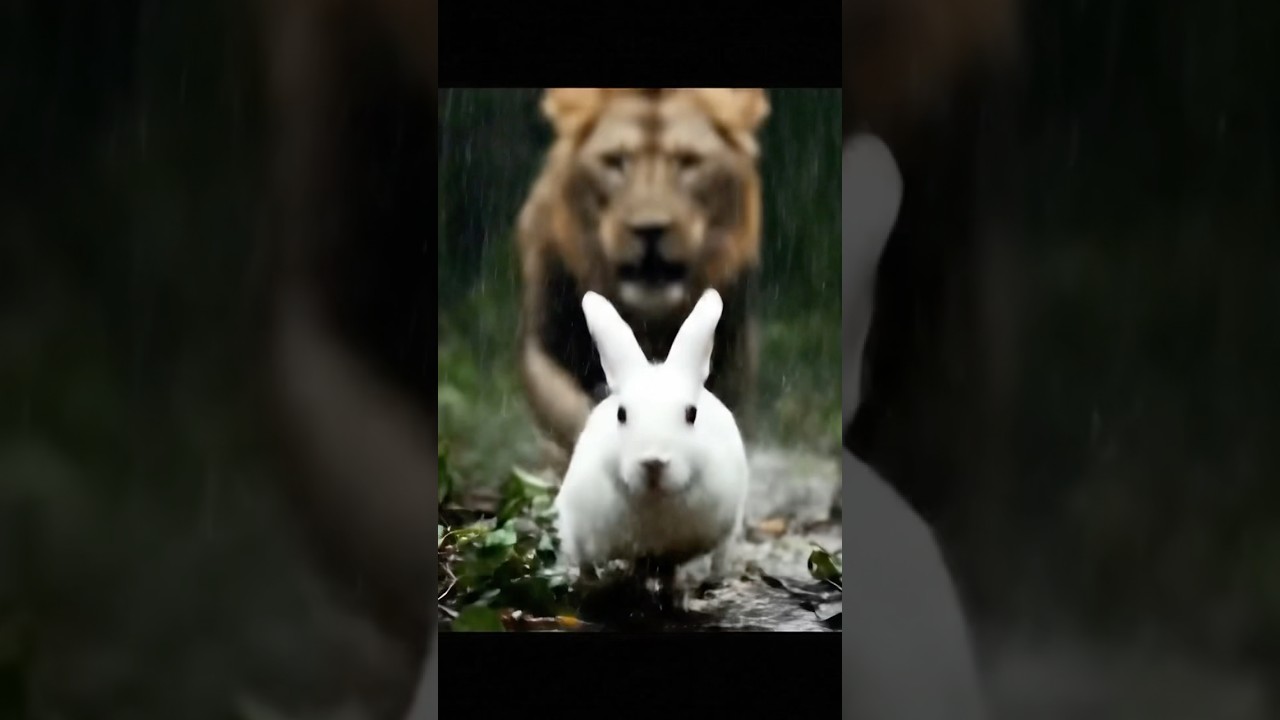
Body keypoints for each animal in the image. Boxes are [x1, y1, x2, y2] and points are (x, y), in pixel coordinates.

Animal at [515, 88, 770, 465]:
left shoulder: (732, 363)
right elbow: (573, 418)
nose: (650, 229)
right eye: (616, 161)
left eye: (688, 162)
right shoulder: (544, 347)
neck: (650, 322)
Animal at [552, 288, 750, 605]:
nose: (654, 462)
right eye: (621, 414)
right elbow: (585, 564)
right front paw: (590, 586)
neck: (655, 500)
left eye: (691, 414)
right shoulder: (578, 523)